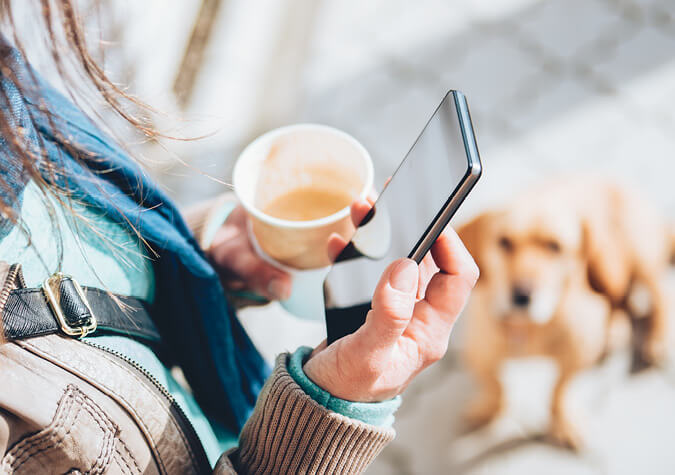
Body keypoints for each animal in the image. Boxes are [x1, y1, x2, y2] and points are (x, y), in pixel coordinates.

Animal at [460, 179, 675, 450]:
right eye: (504, 241)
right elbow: (494, 385)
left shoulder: (576, 357)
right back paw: (615, 331)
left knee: (659, 295)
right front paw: (489, 410)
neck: (529, 327)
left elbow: (559, 390)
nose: (521, 296)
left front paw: (562, 422)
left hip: (636, 259)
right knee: (620, 300)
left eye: (555, 246)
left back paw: (654, 339)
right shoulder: (480, 354)